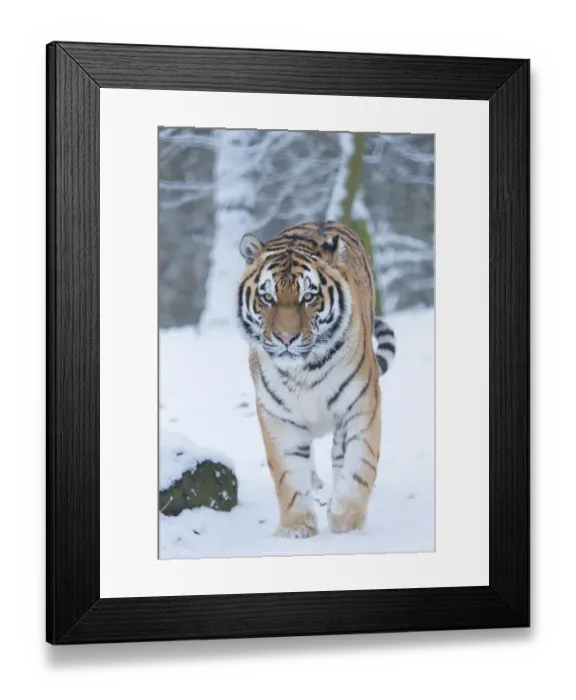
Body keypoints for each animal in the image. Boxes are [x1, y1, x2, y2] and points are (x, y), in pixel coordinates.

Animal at [236, 221, 396, 538]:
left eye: (308, 297)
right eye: (267, 297)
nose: (285, 338)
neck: (304, 370)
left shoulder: (361, 405)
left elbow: (359, 465)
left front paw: (346, 523)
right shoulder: (278, 415)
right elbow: (288, 474)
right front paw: (296, 527)